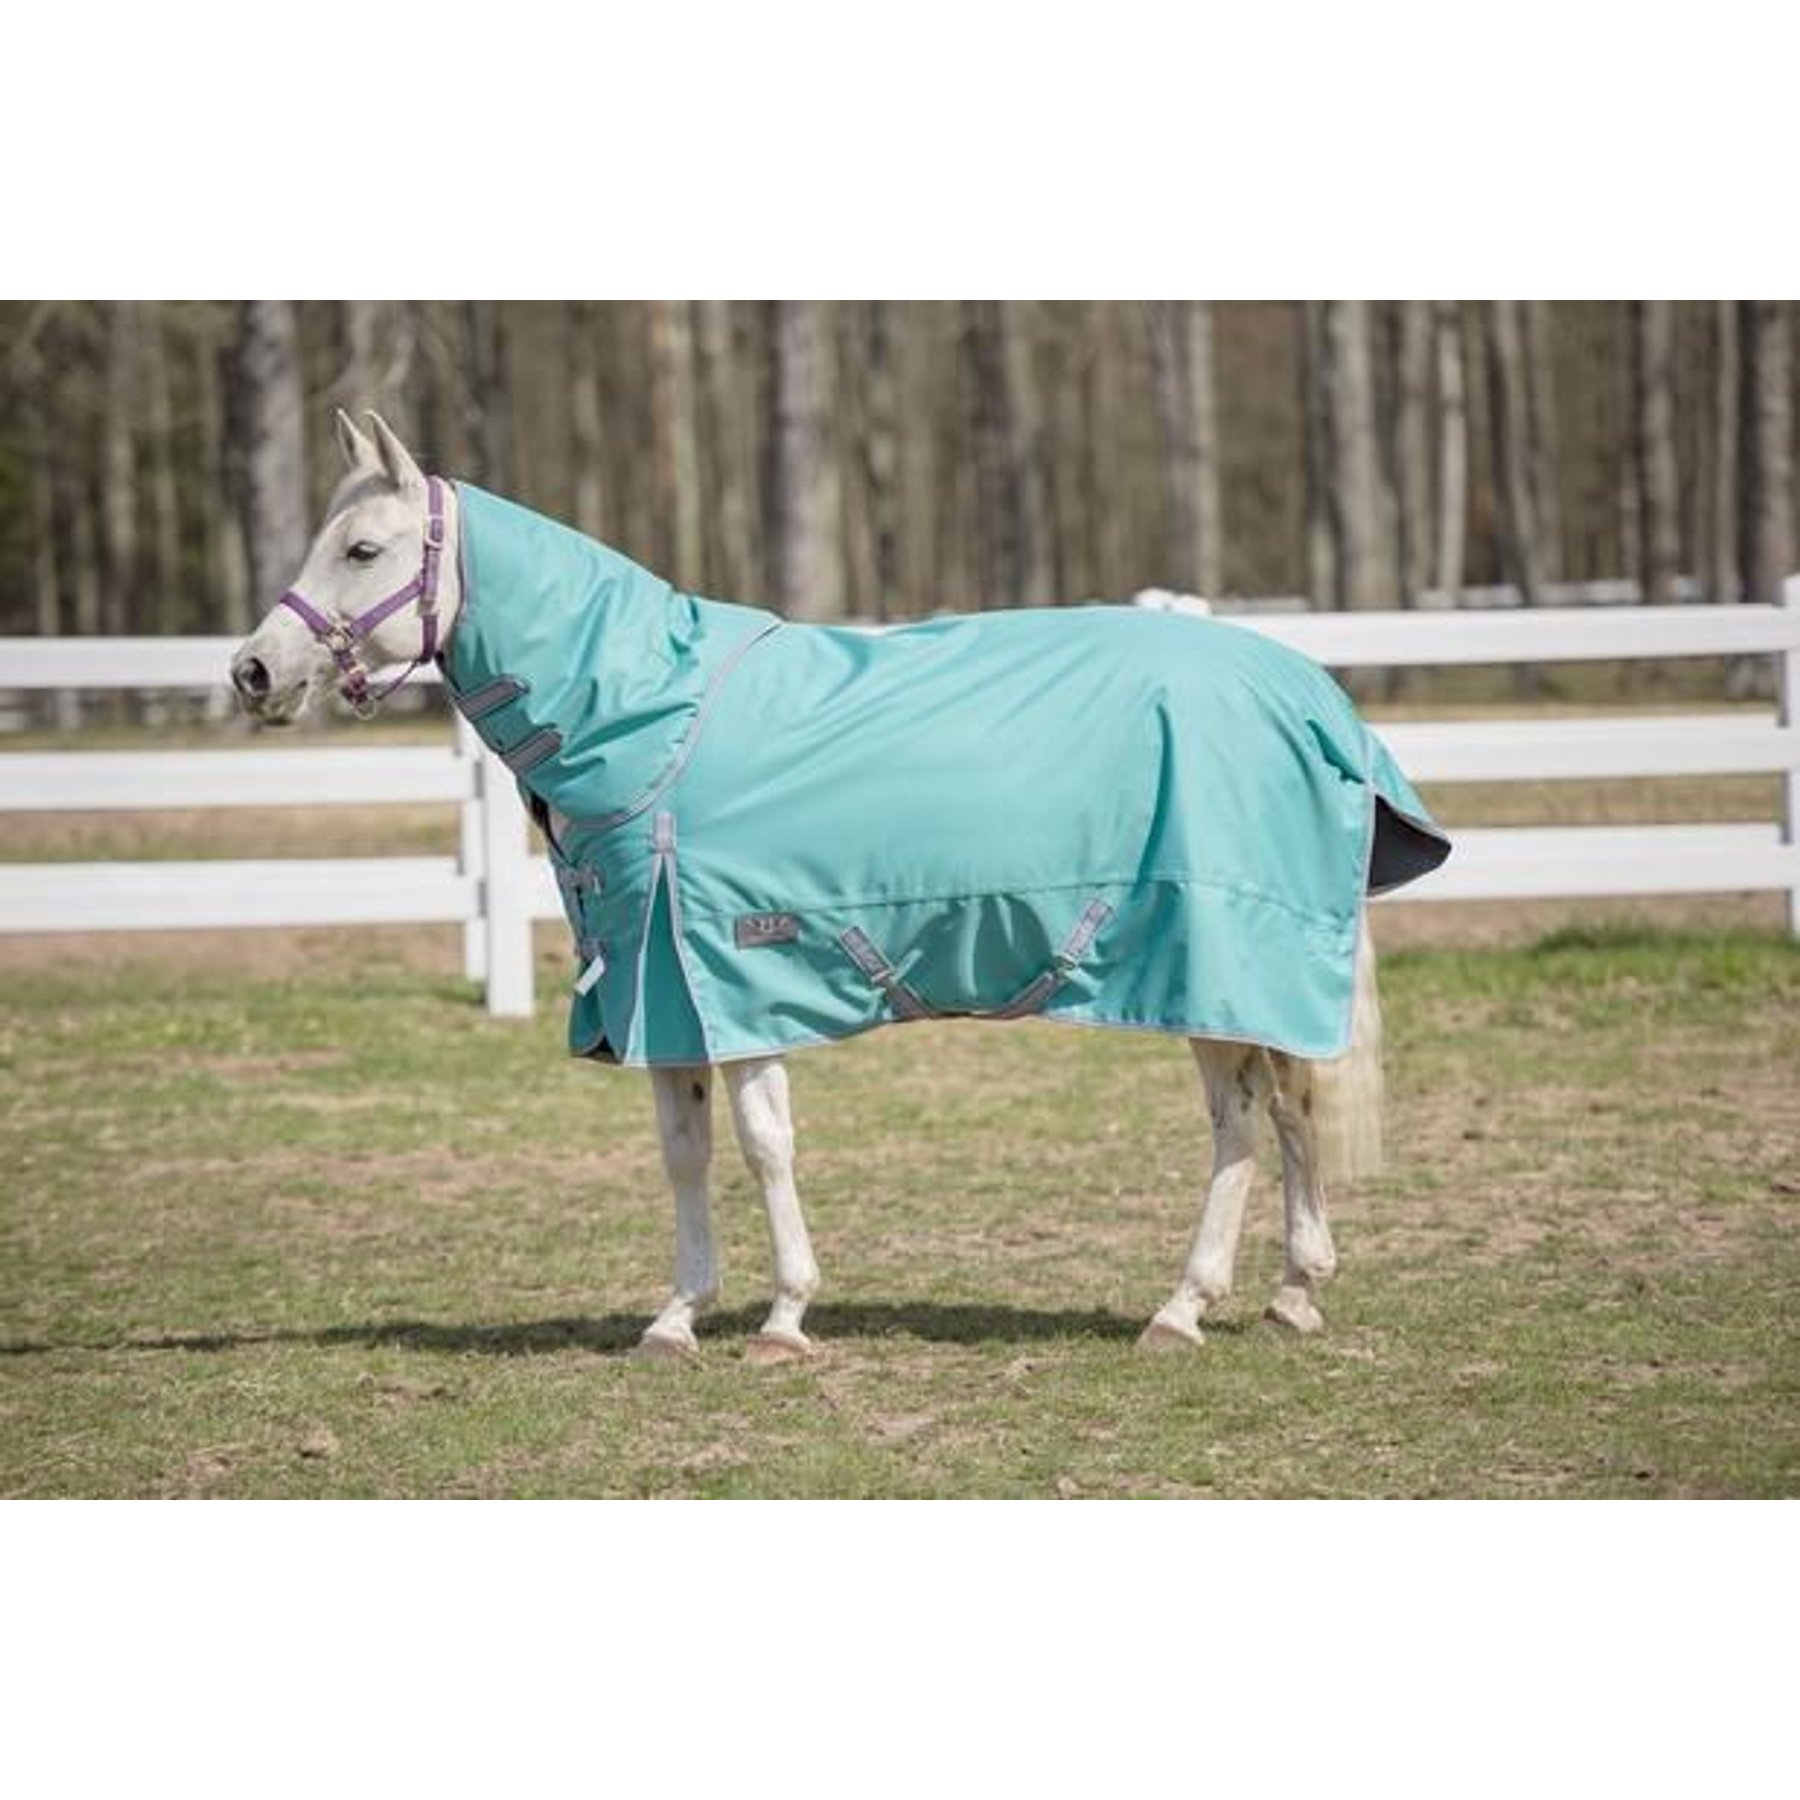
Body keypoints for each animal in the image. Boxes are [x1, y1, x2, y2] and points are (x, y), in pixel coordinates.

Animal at [230, 409, 1449, 1364]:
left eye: (363, 548)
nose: (252, 671)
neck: (652, 718)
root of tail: (1313, 698)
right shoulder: (661, 992)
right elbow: (684, 1151)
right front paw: (678, 1315)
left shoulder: (729, 972)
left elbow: (764, 1145)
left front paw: (784, 1317)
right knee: (1290, 1108)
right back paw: (1293, 1294)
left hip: (1212, 965)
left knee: (1239, 1123)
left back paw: (1183, 1308)